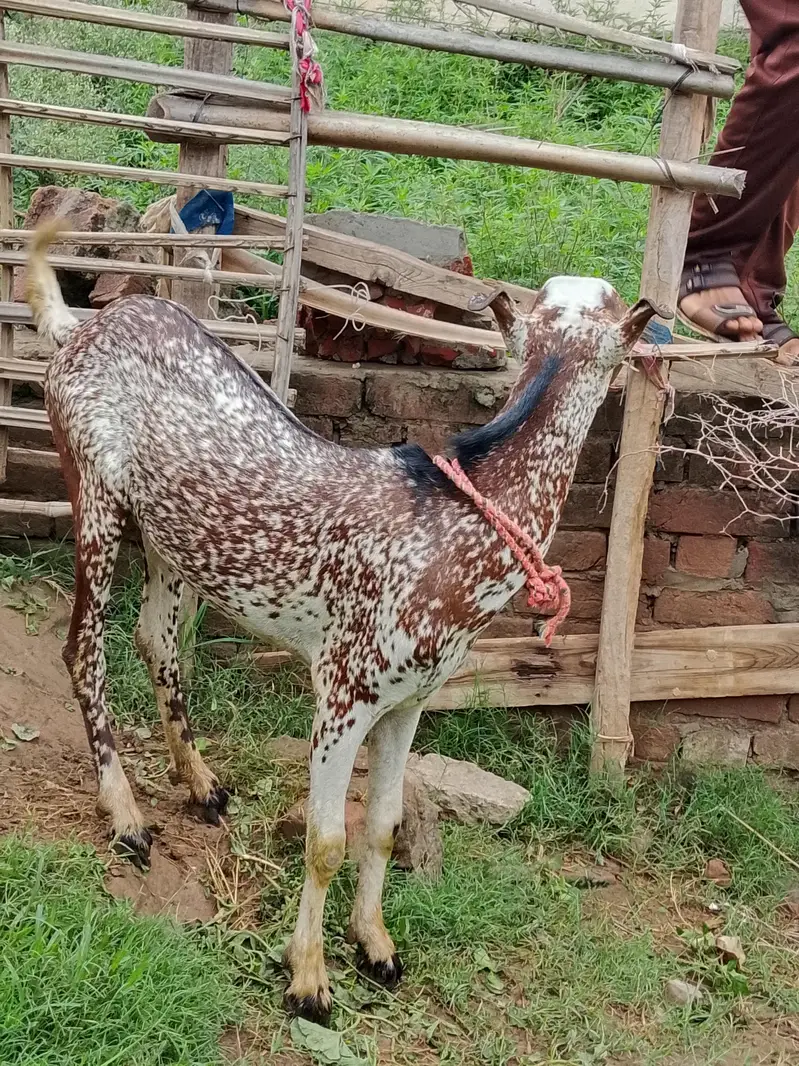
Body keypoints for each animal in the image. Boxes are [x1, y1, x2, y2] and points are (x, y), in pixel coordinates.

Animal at [26, 220, 657, 1024]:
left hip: (171, 539)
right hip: (94, 491)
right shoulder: (344, 689)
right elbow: (326, 839)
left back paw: (201, 783)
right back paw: (127, 816)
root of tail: (80, 325)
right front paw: (308, 980)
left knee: (156, 639)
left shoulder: (411, 699)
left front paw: (377, 946)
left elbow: (384, 826)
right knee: (84, 647)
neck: (452, 527)